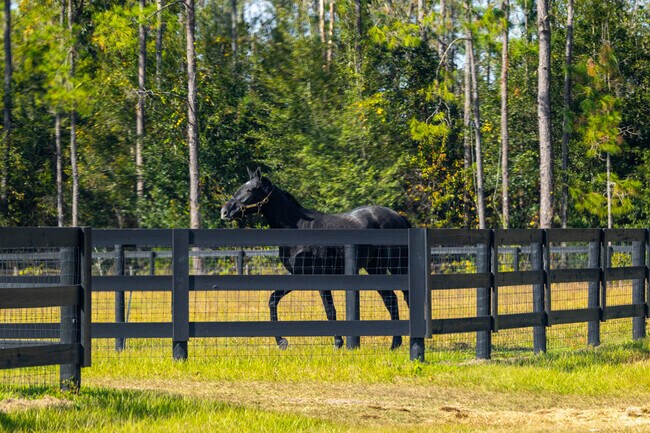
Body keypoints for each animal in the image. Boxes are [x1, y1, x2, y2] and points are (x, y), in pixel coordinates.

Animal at [220, 168, 410, 350]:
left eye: (250, 189)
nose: (225, 211)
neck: (298, 228)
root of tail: (399, 217)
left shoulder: (319, 275)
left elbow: (329, 309)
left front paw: (338, 343)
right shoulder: (297, 275)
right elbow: (273, 299)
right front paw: (281, 342)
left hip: (396, 267)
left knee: (404, 296)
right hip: (375, 268)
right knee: (391, 299)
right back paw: (395, 344)